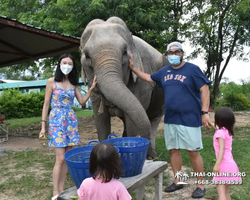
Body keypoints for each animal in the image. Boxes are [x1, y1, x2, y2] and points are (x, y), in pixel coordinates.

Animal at [79, 16, 170, 159]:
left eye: (125, 53)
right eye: (87, 56)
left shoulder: (142, 83)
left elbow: (132, 121)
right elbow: (101, 120)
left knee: (153, 119)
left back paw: (151, 155)